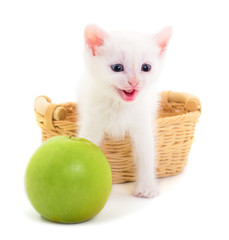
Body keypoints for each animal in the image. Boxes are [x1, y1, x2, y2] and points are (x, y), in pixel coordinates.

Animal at [77, 24, 172, 198]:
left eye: (146, 67)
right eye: (117, 68)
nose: (134, 82)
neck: (119, 105)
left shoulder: (142, 125)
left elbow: (145, 154)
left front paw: (147, 186)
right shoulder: (92, 119)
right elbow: (85, 141)